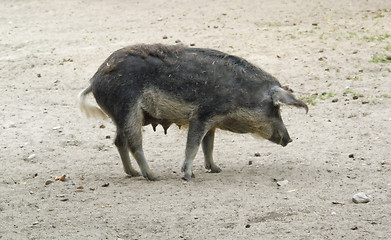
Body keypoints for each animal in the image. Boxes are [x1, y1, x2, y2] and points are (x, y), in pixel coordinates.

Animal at [78, 44, 308, 181]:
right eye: (276, 107)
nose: (289, 138)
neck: (238, 94)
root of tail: (94, 79)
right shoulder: (201, 116)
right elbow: (193, 146)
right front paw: (189, 176)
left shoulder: (212, 122)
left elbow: (209, 146)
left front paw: (216, 169)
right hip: (128, 110)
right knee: (135, 144)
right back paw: (153, 176)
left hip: (120, 116)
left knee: (119, 142)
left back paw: (132, 173)